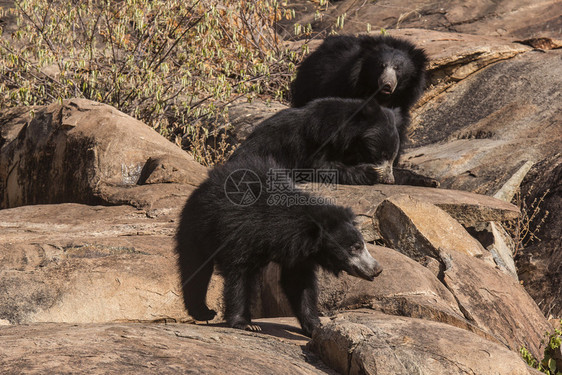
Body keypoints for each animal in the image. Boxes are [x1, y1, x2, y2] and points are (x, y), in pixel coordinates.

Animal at [229, 97, 402, 185]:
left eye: (393, 157)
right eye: (383, 155)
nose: (390, 180)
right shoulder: (314, 140)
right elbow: (318, 166)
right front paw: (370, 173)